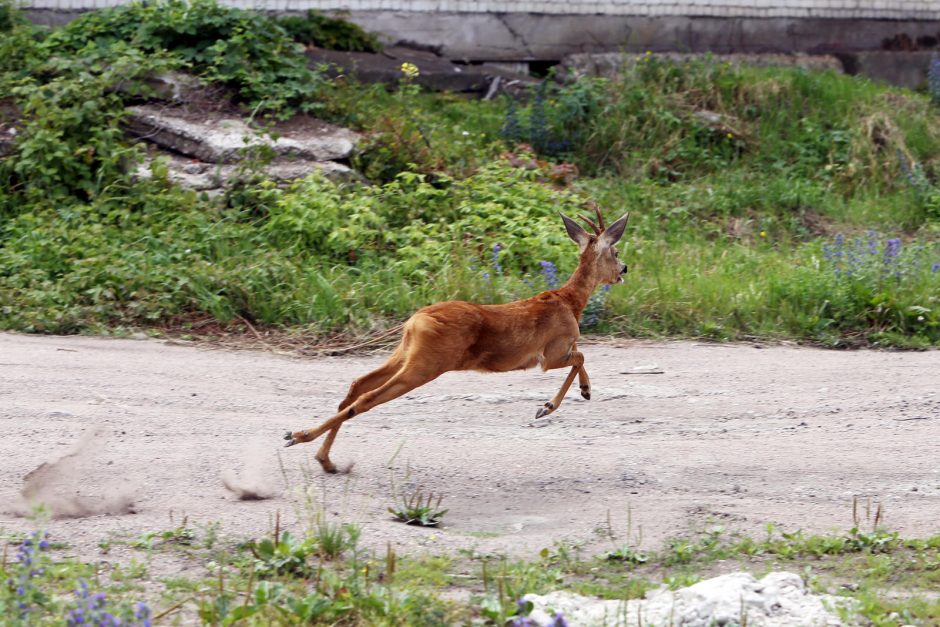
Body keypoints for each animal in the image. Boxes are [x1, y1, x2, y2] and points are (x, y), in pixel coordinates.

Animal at [282, 209, 628, 474]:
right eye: (615, 252)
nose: (624, 269)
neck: (570, 302)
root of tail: (415, 319)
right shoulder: (550, 353)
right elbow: (581, 356)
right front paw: (551, 405)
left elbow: (581, 358)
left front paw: (581, 392)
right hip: (427, 363)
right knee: (366, 398)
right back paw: (299, 436)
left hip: (406, 353)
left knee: (356, 386)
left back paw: (325, 460)